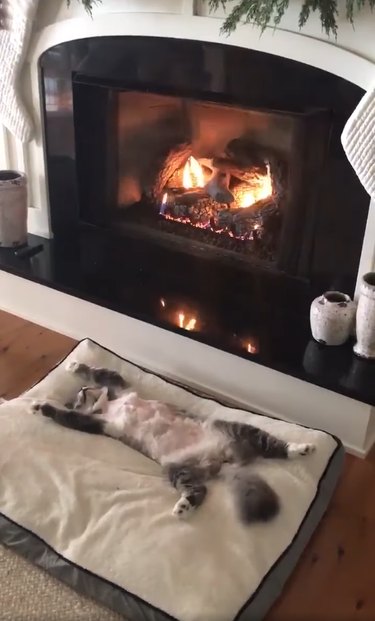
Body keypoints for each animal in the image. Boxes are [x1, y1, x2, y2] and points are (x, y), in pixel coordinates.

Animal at [30, 360, 316, 520]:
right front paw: (40, 407)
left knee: (276, 445)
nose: (81, 390)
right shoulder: (98, 424)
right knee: (199, 492)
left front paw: (74, 367)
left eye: (81, 392)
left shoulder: (119, 387)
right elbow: (67, 416)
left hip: (234, 430)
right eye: (77, 398)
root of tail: (222, 460)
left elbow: (102, 373)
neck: (108, 405)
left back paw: (302, 448)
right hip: (180, 470)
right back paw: (183, 508)